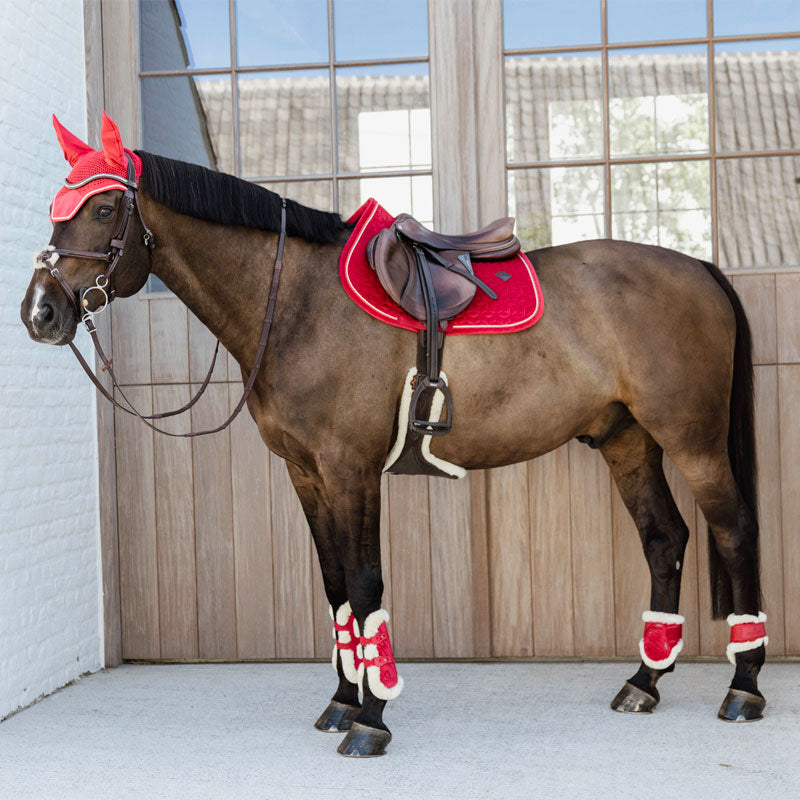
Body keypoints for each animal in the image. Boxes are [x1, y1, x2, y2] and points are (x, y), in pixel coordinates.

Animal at [21, 113, 767, 757]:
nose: (40, 313)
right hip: (628, 441)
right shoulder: (306, 471)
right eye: (60, 206)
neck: (296, 304)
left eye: (104, 209)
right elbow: (334, 586)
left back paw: (744, 687)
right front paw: (343, 700)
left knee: (734, 531)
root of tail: (699, 268)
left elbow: (365, 582)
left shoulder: (350, 468)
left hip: (694, 441)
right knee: (665, 540)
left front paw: (372, 718)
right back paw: (644, 682)